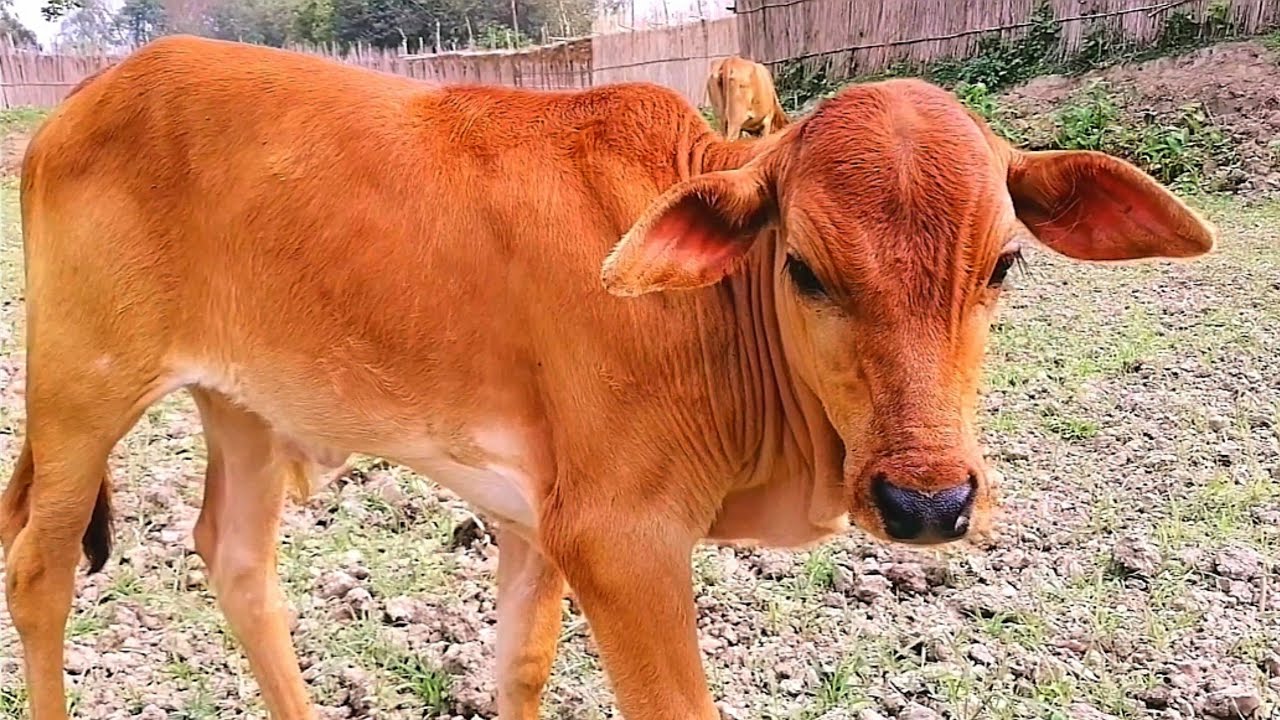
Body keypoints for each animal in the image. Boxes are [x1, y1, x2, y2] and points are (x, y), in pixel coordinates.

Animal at [1, 35, 1213, 720]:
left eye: (1003, 263)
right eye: (804, 267)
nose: (929, 502)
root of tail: (81, 105)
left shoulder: (538, 523)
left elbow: (517, 669)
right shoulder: (619, 540)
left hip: (246, 404)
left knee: (238, 562)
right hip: (78, 388)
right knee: (39, 569)